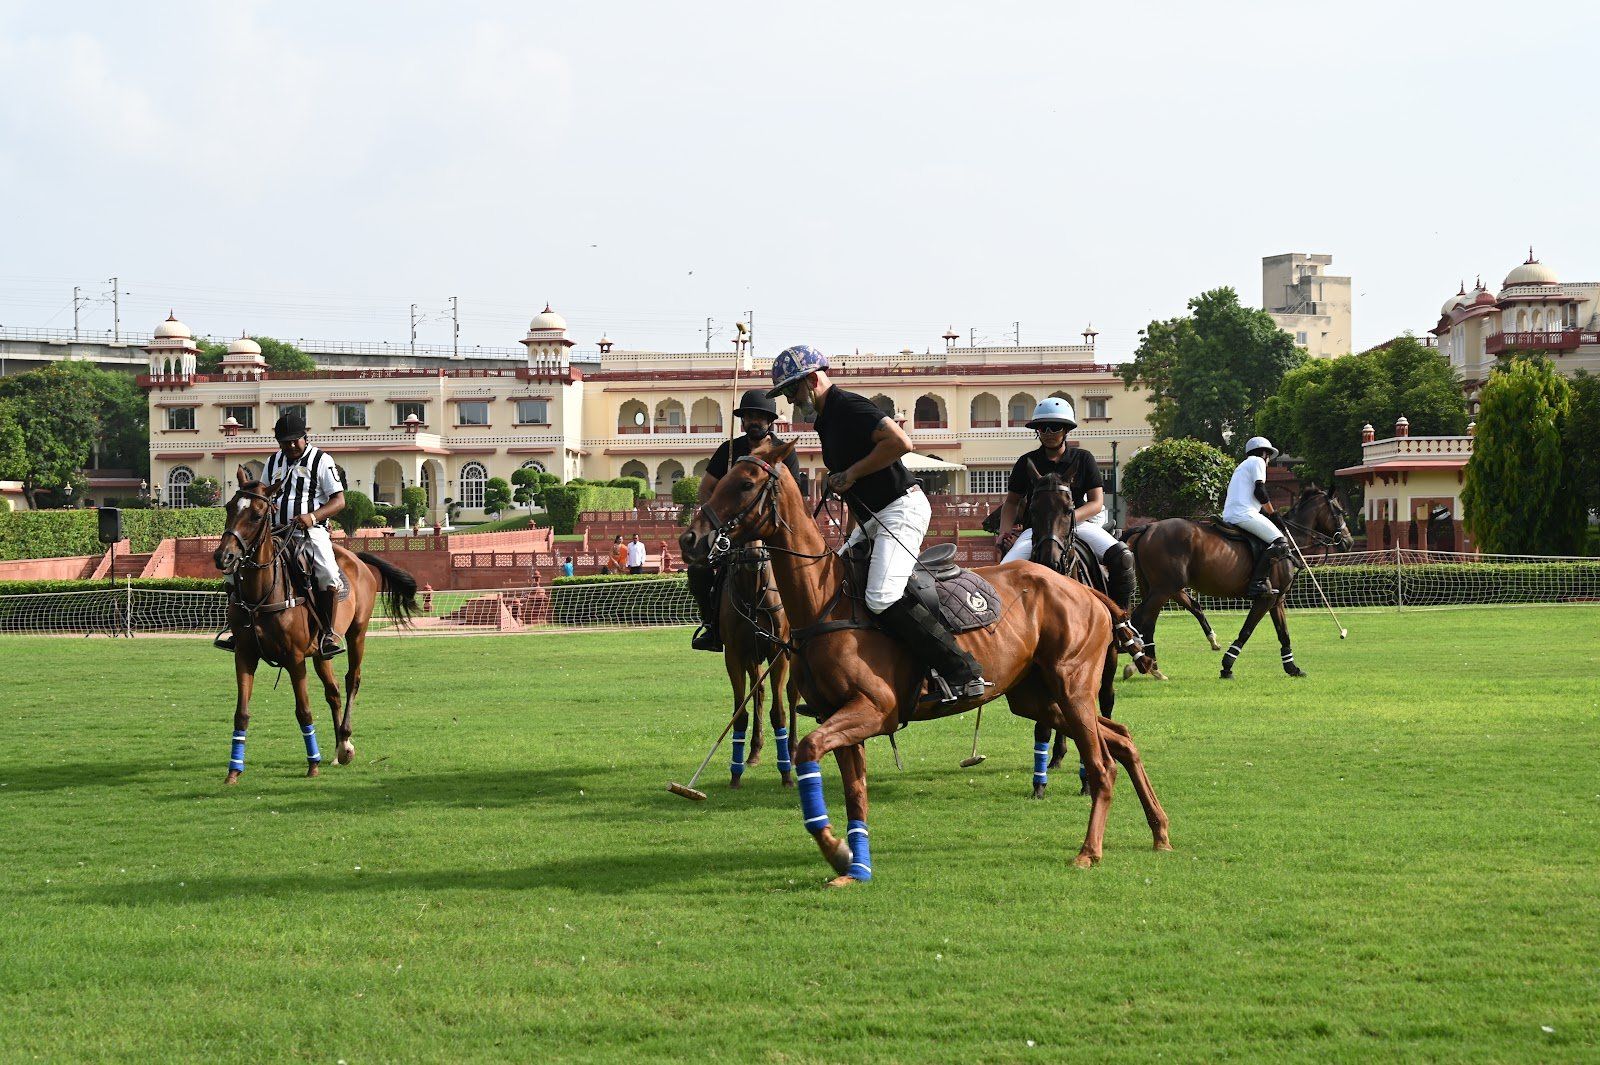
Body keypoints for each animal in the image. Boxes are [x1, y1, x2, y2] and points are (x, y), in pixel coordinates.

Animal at [216, 463, 422, 780]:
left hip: (357, 632)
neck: (261, 593)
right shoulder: (245, 654)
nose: (224, 556)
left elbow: (303, 710)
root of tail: (354, 556)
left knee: (351, 680)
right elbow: (241, 713)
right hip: (320, 651)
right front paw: (233, 771)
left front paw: (312, 764)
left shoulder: (294, 658)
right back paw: (338, 749)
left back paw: (346, 742)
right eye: (229, 507)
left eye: (257, 515)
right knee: (333, 690)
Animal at [720, 543, 800, 783]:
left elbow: (779, 712)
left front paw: (785, 772)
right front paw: (736, 773)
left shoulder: (779, 652)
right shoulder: (736, 654)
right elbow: (742, 710)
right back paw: (755, 750)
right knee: (759, 690)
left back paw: (793, 751)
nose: (754, 557)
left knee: (792, 693)